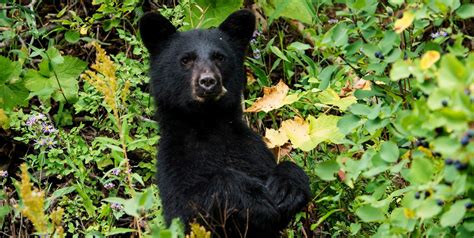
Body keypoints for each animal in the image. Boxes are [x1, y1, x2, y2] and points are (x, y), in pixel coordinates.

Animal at [140, 8, 312, 236]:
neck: (208, 123)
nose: (208, 81)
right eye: (185, 60)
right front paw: (253, 197)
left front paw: (286, 187)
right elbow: (189, 206)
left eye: (219, 57)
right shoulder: (175, 163)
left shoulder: (251, 150)